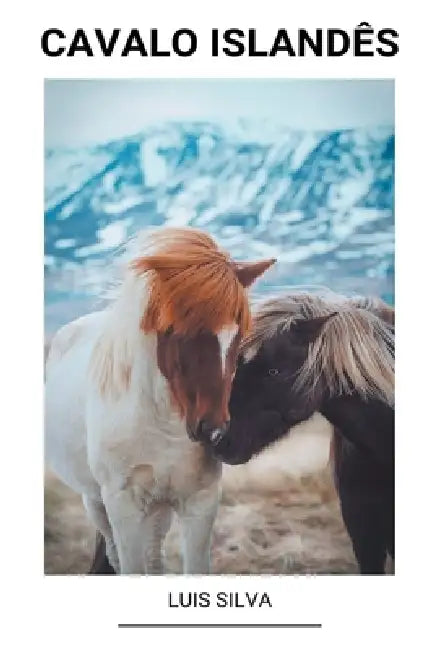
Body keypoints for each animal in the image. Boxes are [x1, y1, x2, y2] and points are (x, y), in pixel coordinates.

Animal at [45, 227, 275, 574]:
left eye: (238, 335)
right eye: (173, 329)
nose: (214, 432)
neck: (164, 426)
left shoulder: (201, 502)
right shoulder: (123, 506)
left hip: (158, 508)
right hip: (96, 502)